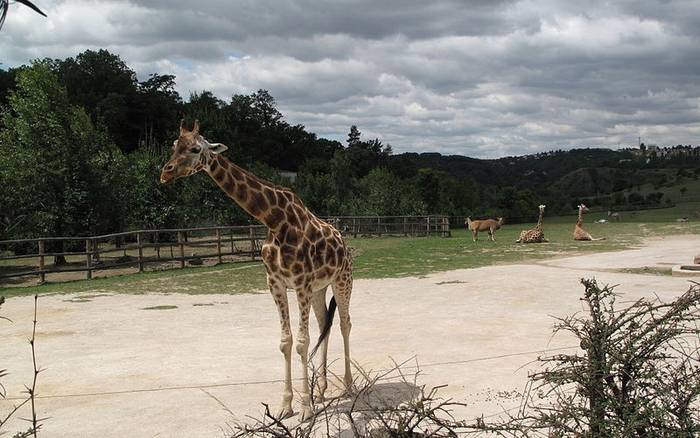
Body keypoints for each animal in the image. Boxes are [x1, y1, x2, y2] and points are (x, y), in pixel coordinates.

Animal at [161, 120, 352, 420]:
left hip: (343, 280)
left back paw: (348, 386)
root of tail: (343, 240)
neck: (274, 220)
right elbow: (286, 341)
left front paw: (305, 409)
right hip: (320, 288)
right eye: (173, 145)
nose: (165, 173)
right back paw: (322, 390)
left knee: (345, 323)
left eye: (195, 149)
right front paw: (286, 405)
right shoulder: (275, 283)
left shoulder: (300, 283)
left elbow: (302, 341)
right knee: (326, 324)